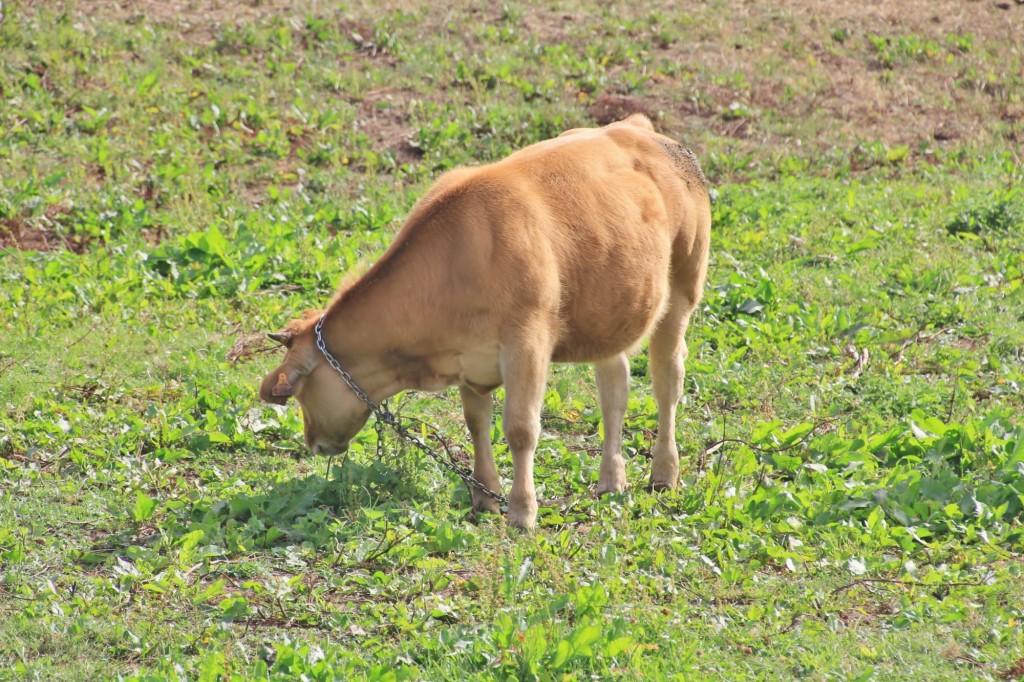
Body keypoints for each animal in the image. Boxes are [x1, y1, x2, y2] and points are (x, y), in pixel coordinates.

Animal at [262, 112, 712, 524]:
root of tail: (639, 127)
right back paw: (610, 480)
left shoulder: (527, 342)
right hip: (611, 308)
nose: (312, 442)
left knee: (667, 381)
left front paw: (522, 511)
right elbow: (476, 424)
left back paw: (663, 473)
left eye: (301, 393)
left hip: (682, 288)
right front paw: (485, 497)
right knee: (614, 388)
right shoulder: (468, 359)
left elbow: (520, 428)